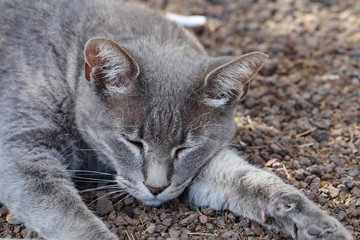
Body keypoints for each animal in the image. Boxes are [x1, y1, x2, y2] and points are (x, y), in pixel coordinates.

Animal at [0, 0, 354, 239]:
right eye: (132, 142)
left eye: (184, 149)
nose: (156, 188)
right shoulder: (22, 149)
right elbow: (69, 217)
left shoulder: (201, 163)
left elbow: (252, 182)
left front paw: (319, 225)